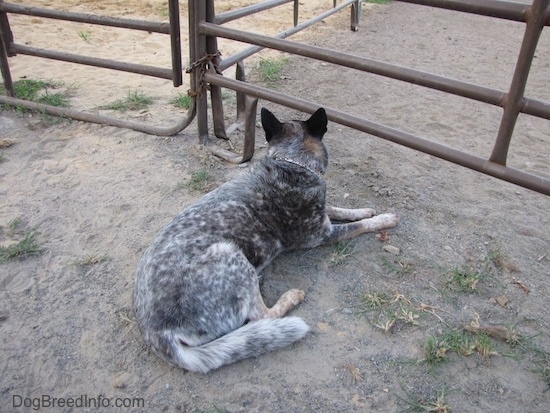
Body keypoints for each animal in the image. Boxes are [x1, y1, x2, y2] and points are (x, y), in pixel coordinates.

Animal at [135, 108, 398, 372]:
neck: (290, 161)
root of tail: (156, 334)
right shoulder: (321, 235)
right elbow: (358, 226)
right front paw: (384, 219)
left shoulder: (323, 217)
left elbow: (340, 210)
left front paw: (364, 210)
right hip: (229, 254)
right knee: (261, 316)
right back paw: (290, 297)